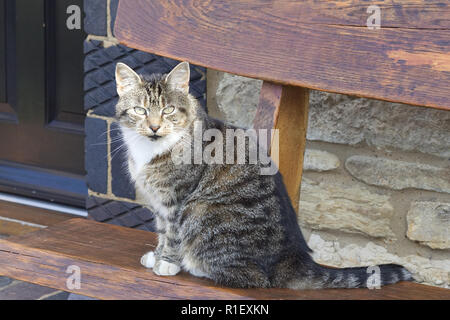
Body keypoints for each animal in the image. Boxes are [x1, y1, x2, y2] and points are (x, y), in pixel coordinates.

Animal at [113, 61, 412, 288]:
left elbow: (173, 235)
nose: (154, 127)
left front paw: (167, 263)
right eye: (140, 110)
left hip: (202, 211)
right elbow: (162, 231)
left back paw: (196, 265)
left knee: (255, 277)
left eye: (169, 109)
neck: (151, 150)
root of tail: (294, 258)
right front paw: (157, 256)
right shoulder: (158, 203)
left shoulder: (176, 201)